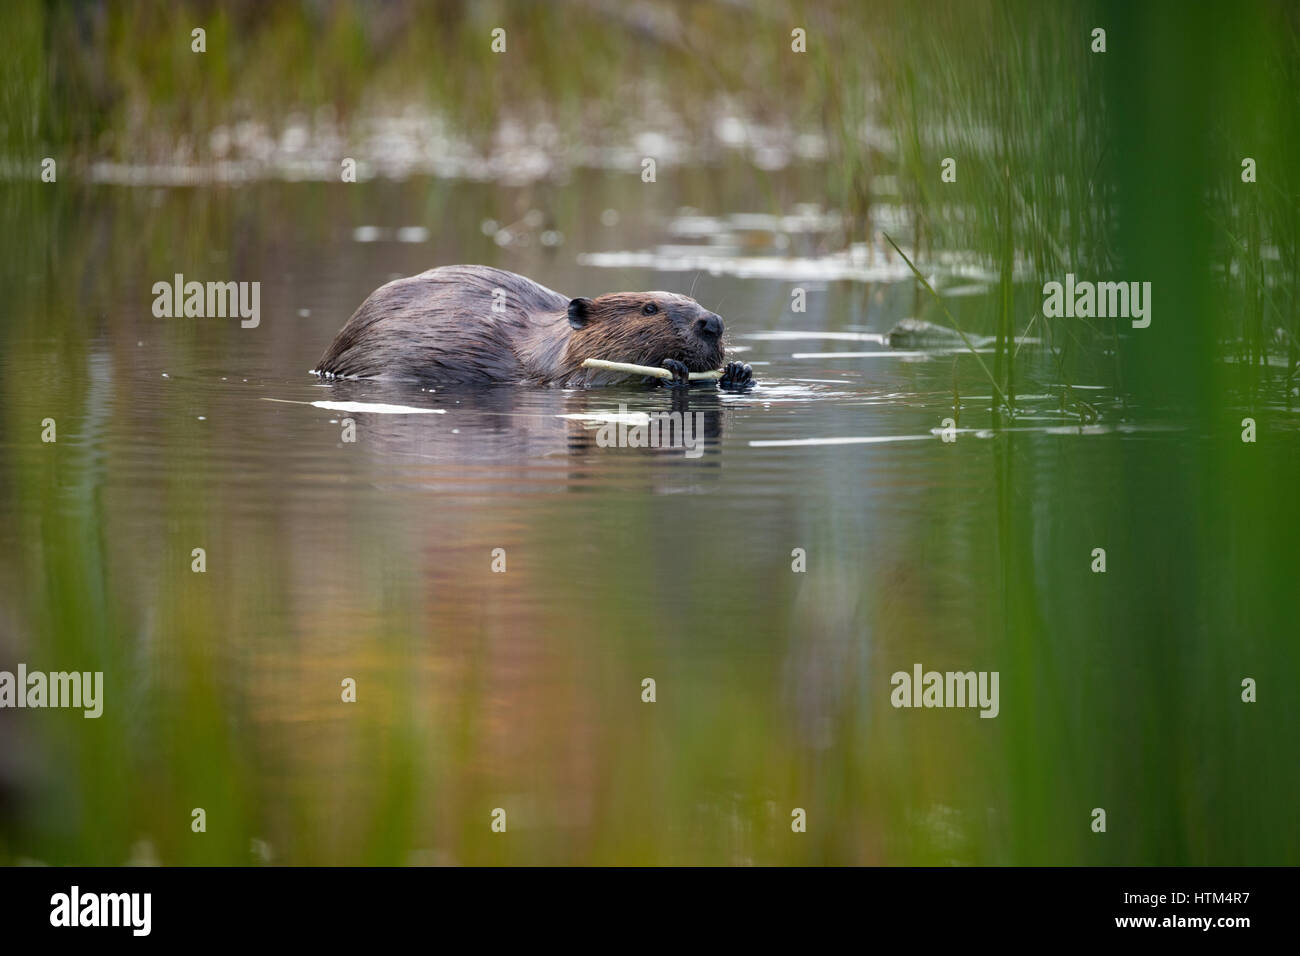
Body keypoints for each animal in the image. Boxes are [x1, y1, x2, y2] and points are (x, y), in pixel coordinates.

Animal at [313, 261, 754, 390]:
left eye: (694, 303)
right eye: (648, 308)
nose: (712, 322)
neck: (549, 345)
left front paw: (738, 372)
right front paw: (673, 371)